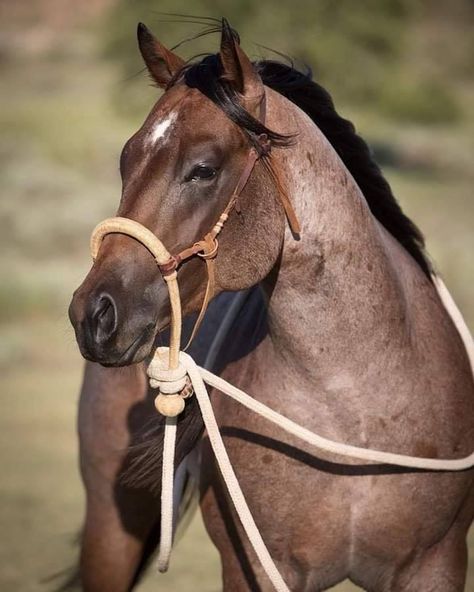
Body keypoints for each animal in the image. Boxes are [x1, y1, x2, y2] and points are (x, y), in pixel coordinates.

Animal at [67, 18, 474, 592]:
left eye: (204, 169)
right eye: (127, 161)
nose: (94, 314)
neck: (355, 404)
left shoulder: (436, 564)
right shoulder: (255, 566)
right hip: (110, 528)